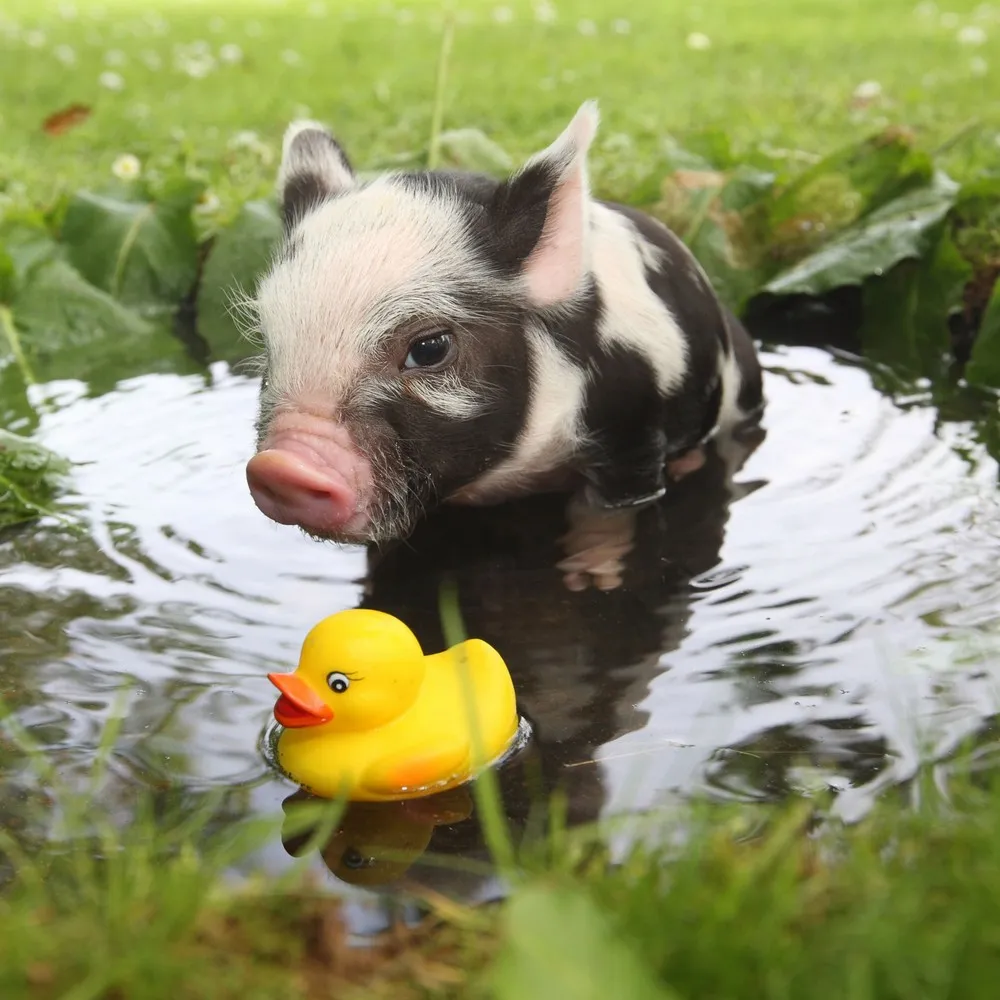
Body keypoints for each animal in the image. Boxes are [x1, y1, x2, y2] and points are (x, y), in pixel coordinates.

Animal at [244, 100, 764, 591]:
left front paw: (588, 581)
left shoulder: (631, 430)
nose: (278, 467)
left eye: (430, 347)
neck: (513, 478)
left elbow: (608, 516)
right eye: (269, 343)